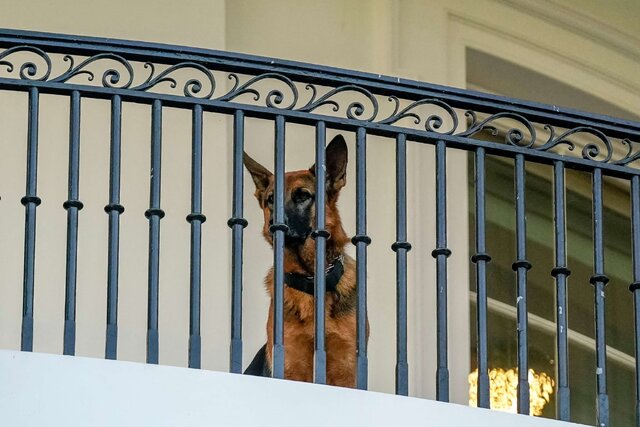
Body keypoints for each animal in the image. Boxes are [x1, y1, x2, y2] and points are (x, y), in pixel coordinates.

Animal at [242, 136, 362, 388]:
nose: (273, 225)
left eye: (303, 195)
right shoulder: (290, 366)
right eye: (270, 200)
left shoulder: (346, 369)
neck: (311, 277)